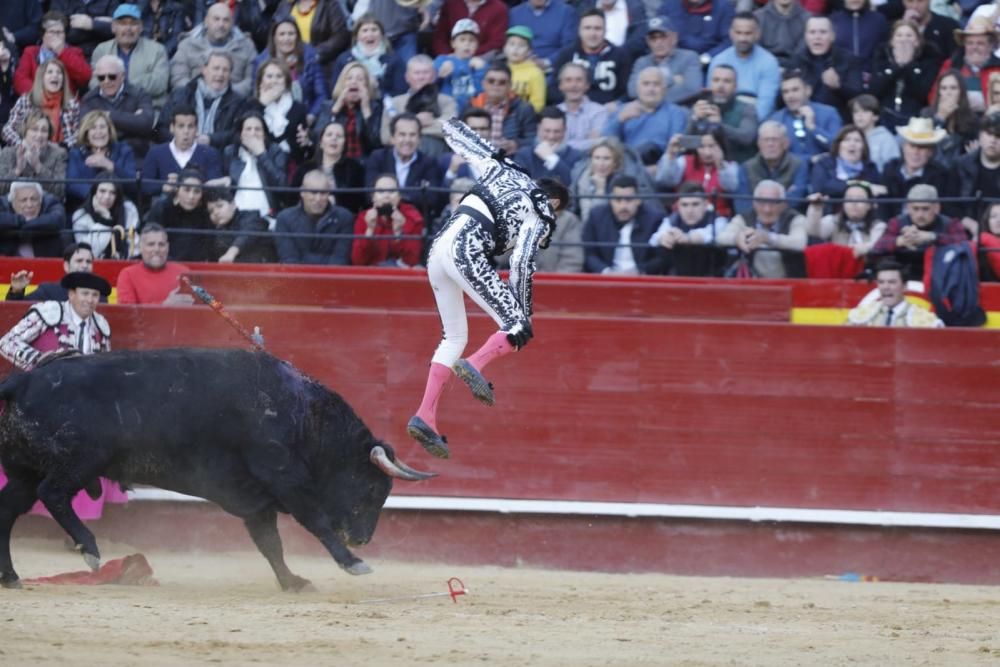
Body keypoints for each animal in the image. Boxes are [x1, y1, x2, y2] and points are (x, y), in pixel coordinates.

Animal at [0, 348, 438, 592]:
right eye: (372, 489)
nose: (362, 538)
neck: (304, 418)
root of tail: (23, 381)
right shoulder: (287, 480)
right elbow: (316, 522)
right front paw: (352, 563)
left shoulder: (256, 501)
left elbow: (270, 545)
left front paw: (293, 582)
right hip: (79, 460)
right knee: (54, 494)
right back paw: (89, 549)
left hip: (24, 471)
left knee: (9, 510)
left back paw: (11, 576)